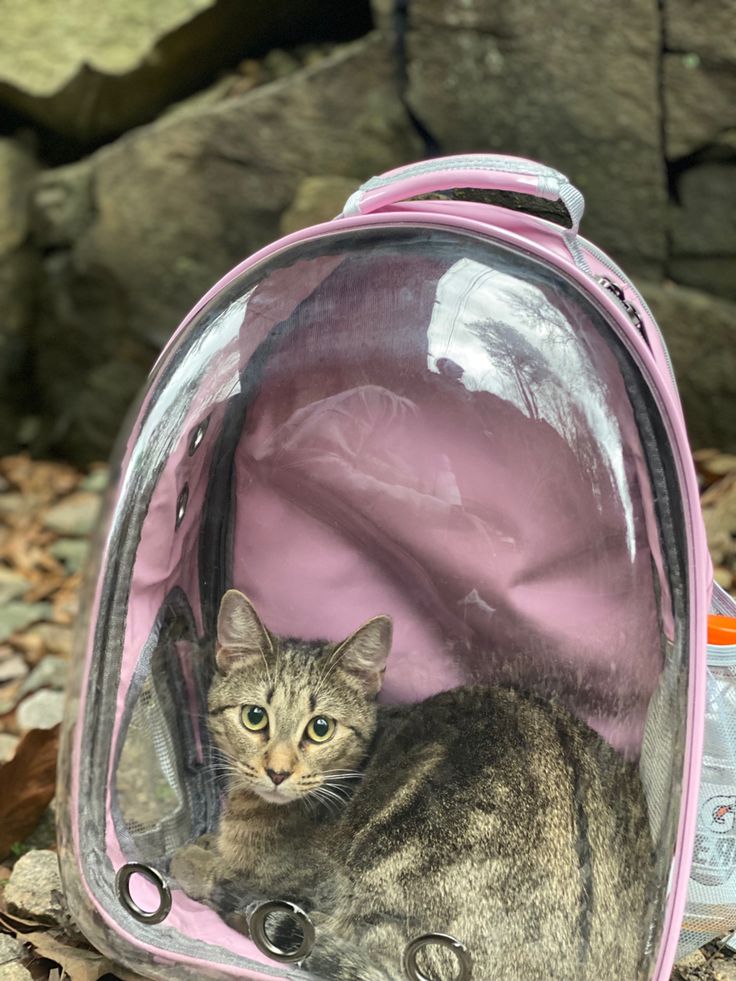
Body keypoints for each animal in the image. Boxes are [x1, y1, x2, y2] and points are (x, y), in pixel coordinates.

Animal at [172, 588, 656, 980]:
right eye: (255, 717)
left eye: (321, 728)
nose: (277, 770)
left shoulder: (304, 889)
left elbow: (228, 875)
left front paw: (195, 859)